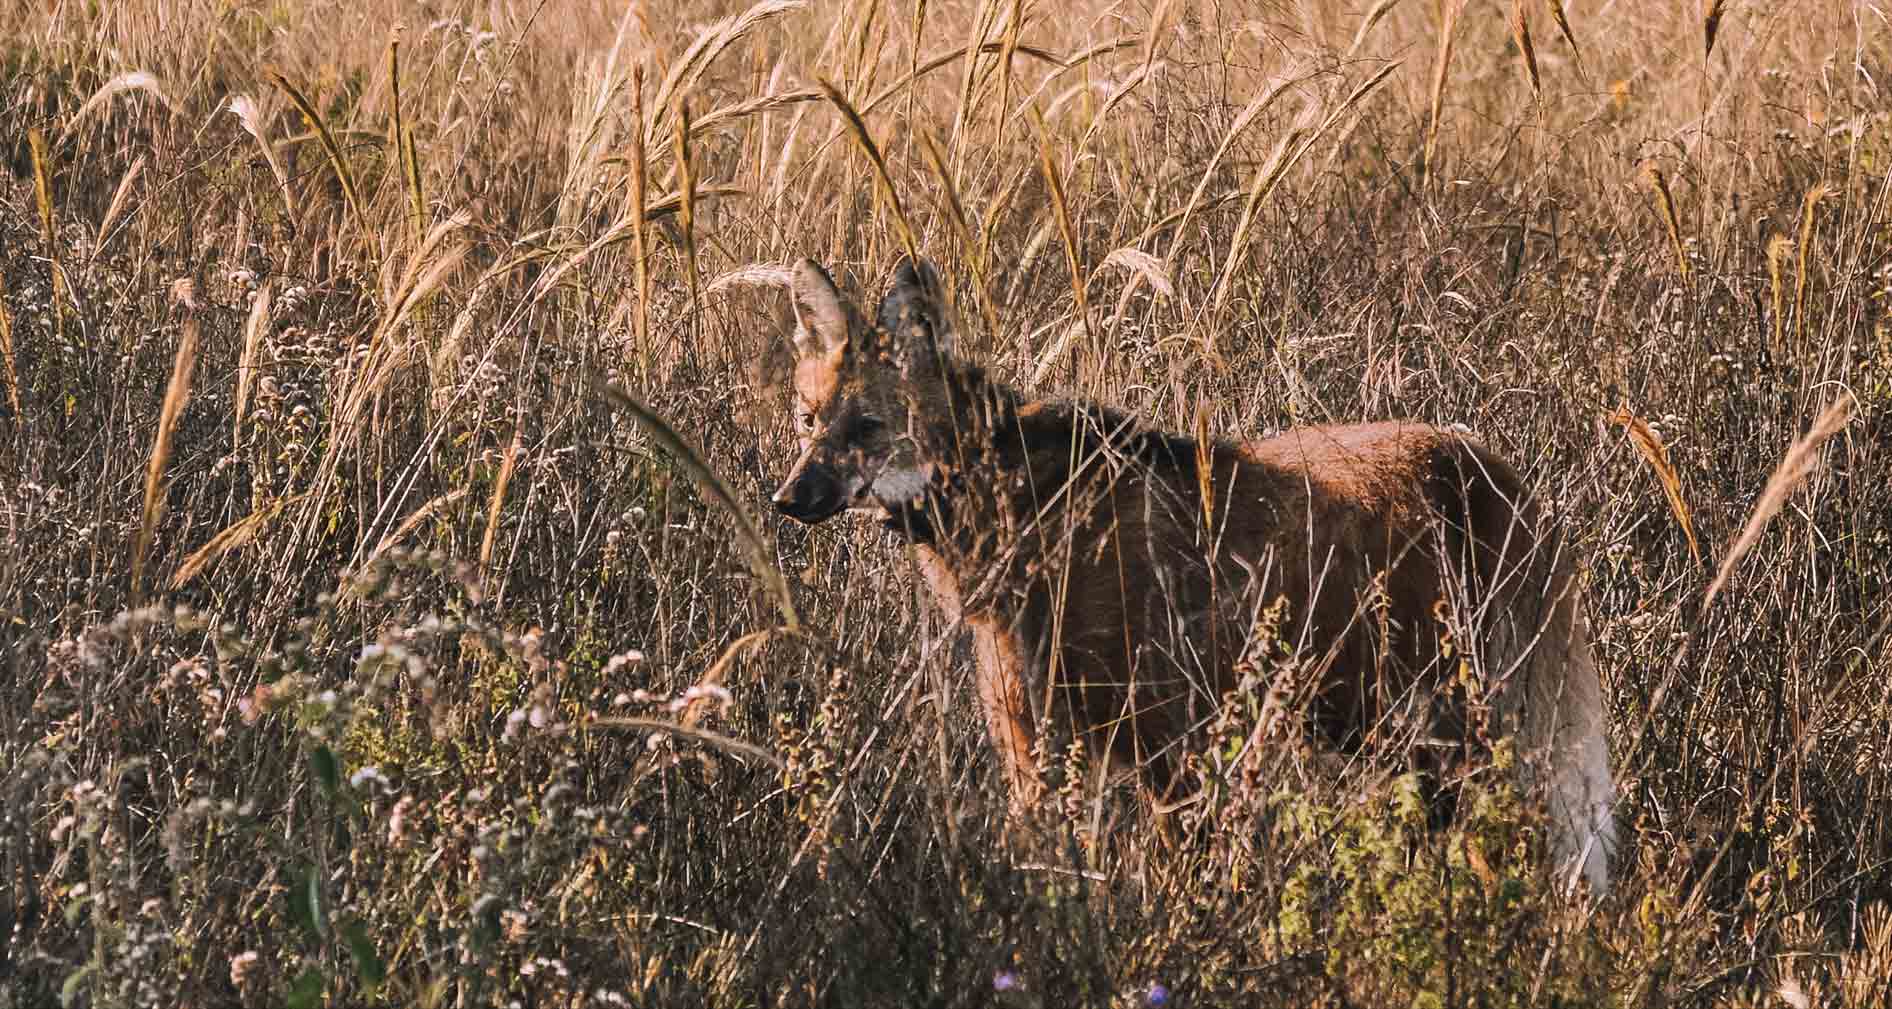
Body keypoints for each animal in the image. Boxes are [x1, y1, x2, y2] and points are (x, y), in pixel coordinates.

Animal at [764, 253, 1611, 889]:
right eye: (809, 420)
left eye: (867, 427)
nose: (789, 498)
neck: (1020, 507)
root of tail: (1491, 470)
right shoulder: (1040, 747)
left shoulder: (1170, 743)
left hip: (1449, 723)